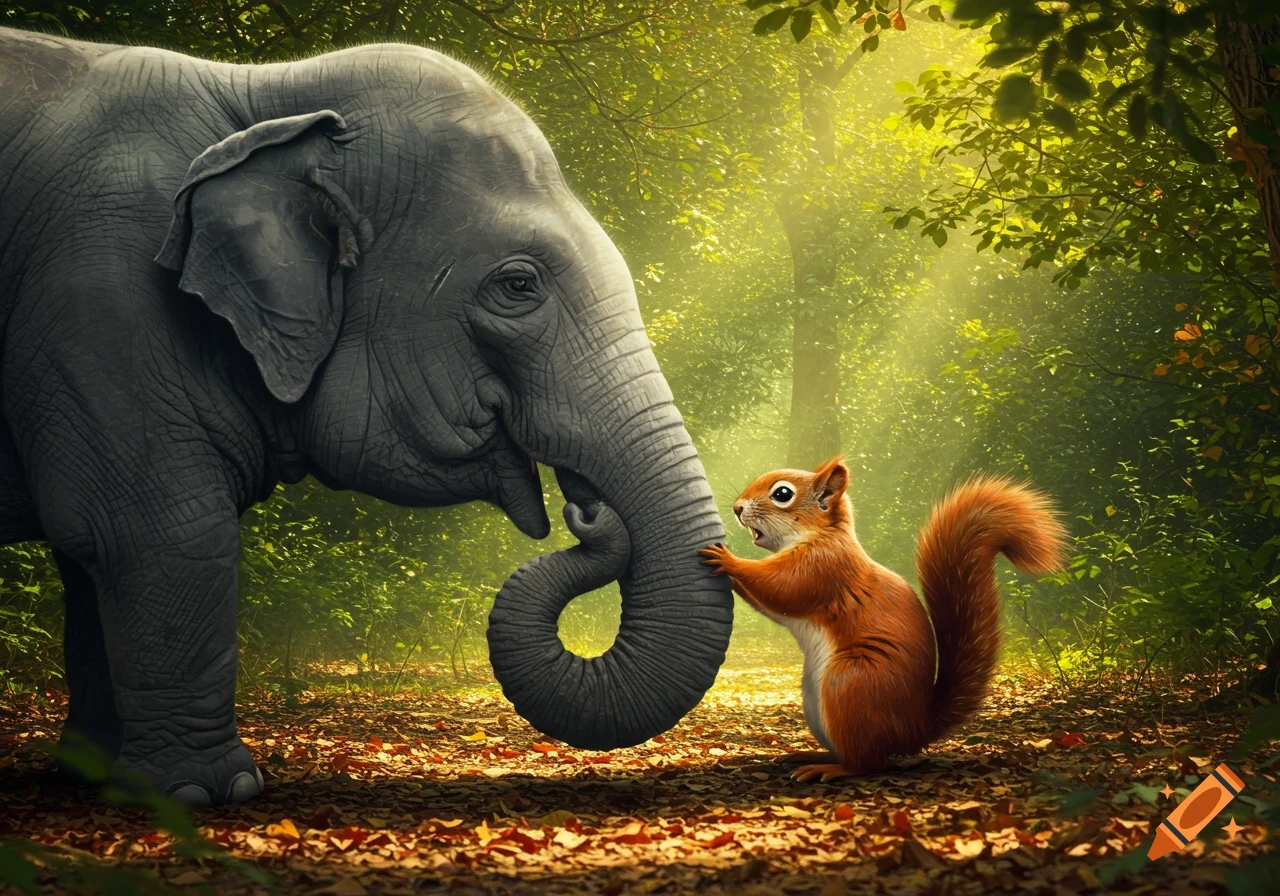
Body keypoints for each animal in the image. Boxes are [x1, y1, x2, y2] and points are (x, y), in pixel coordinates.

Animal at [0, 27, 733, 806]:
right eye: (517, 286)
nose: (589, 512)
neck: (260, 96)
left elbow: (91, 553)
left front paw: (99, 778)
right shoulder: (98, 303)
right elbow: (155, 530)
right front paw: (204, 796)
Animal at [700, 456, 1066, 782]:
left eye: (782, 494)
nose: (737, 508)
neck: (819, 535)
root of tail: (916, 728)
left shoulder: (824, 568)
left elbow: (781, 587)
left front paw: (729, 560)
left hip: (850, 683)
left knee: (870, 763)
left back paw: (830, 769)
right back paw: (810, 754)